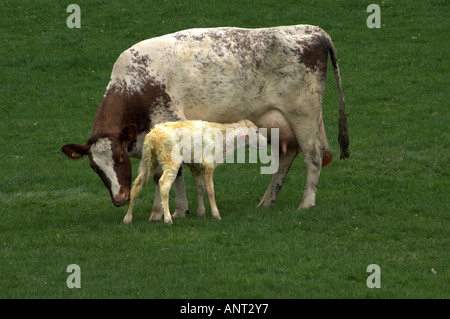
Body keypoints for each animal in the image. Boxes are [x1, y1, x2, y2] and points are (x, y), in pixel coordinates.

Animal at [60, 25, 348, 215]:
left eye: (119, 157)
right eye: (95, 167)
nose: (120, 198)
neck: (137, 85)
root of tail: (312, 30)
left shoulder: (168, 124)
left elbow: (168, 174)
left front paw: (171, 211)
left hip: (303, 116)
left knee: (313, 156)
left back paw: (306, 202)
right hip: (276, 123)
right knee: (286, 157)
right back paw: (266, 202)